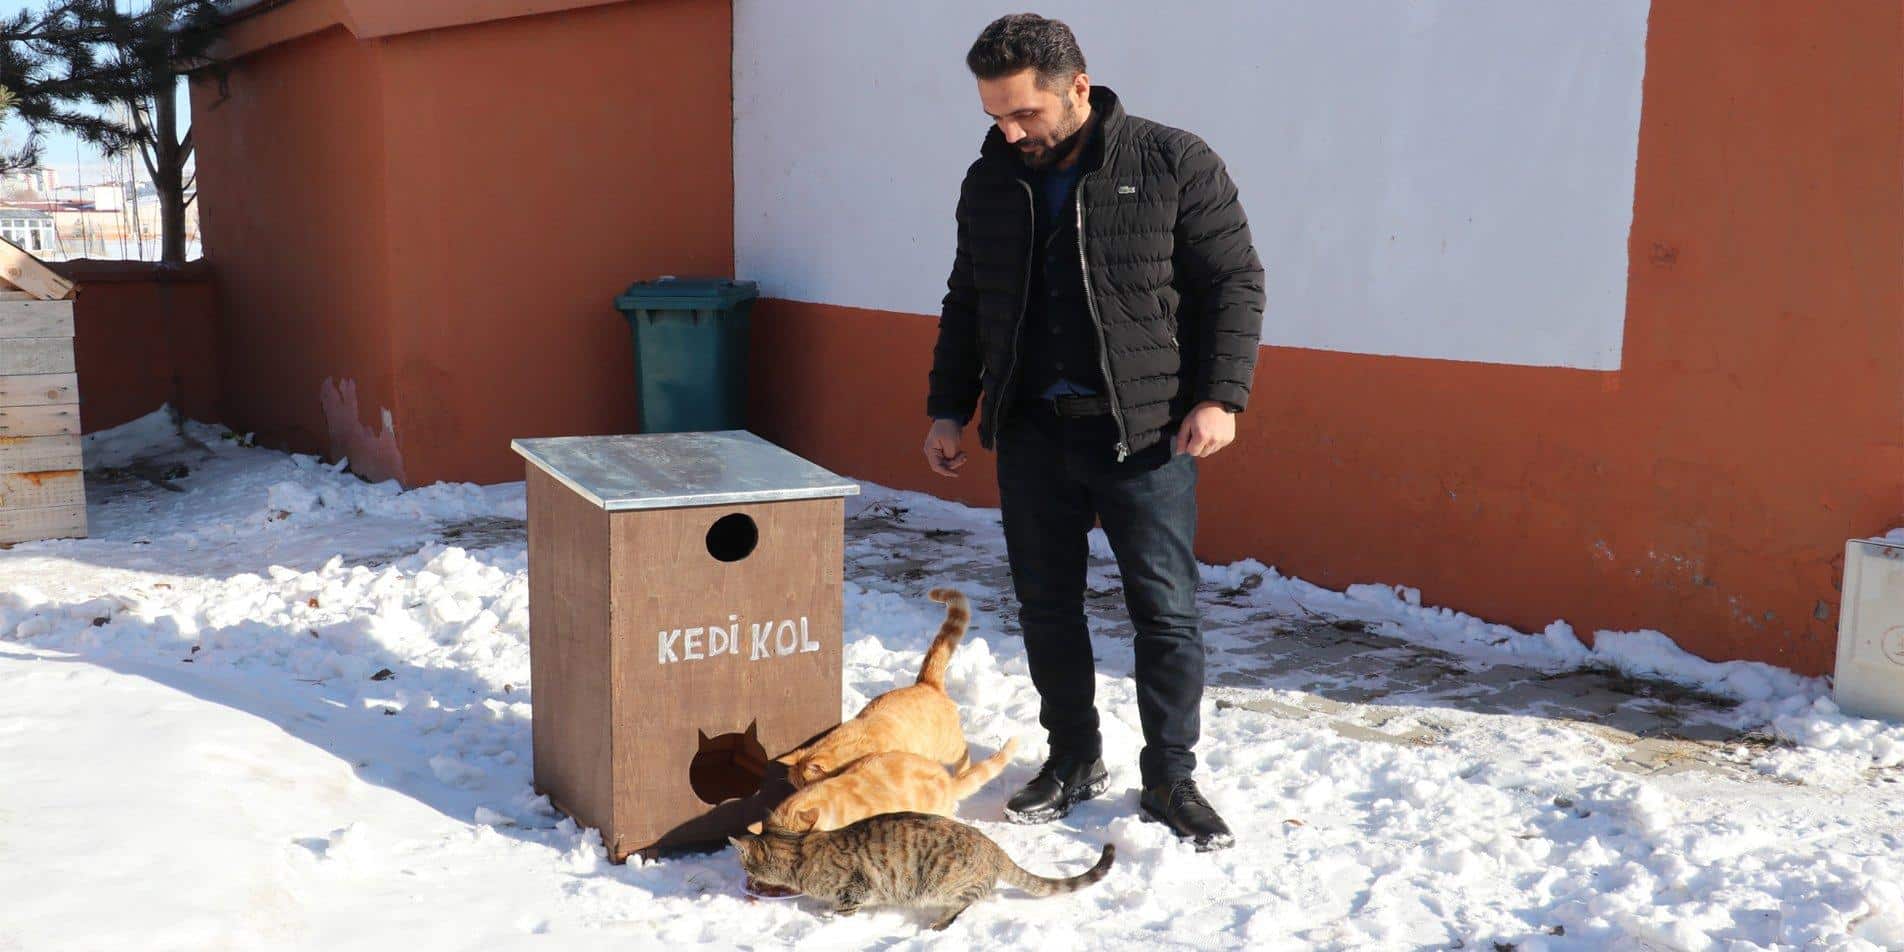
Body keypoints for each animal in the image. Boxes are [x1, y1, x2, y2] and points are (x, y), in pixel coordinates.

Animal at [727, 807, 1111, 932]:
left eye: (743, 862)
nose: (746, 879)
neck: (798, 849)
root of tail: (994, 847)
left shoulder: (857, 886)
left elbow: (844, 907)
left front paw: (828, 918)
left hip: (944, 882)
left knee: (968, 900)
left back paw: (940, 922)